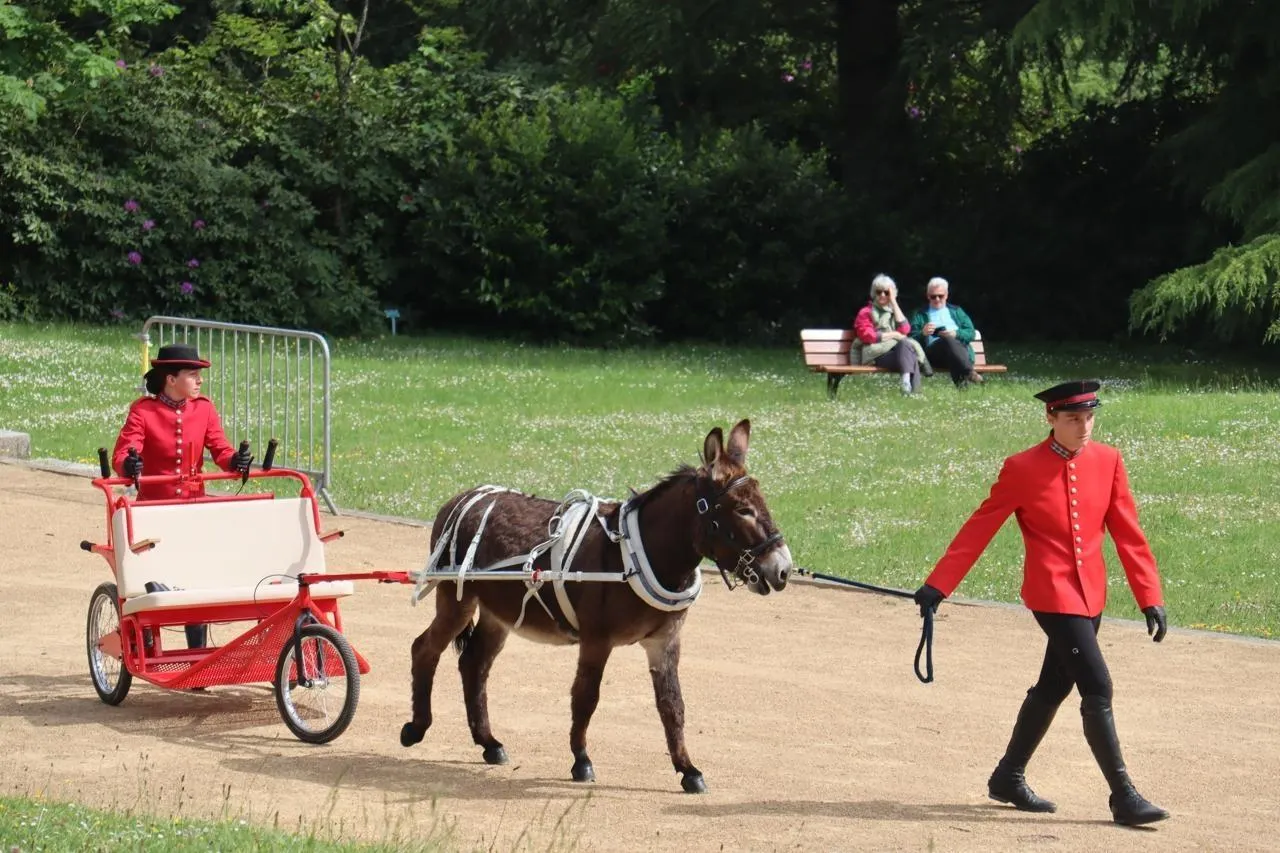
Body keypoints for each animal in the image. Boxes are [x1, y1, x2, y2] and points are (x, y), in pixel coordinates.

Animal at [399, 419, 793, 793]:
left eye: (763, 503)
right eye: (743, 510)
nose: (784, 569)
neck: (638, 554)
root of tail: (465, 496)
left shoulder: (664, 641)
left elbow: (673, 706)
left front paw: (688, 770)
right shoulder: (596, 640)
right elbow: (586, 697)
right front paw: (581, 760)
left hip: (499, 614)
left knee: (474, 663)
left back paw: (489, 743)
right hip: (457, 598)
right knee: (425, 648)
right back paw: (416, 728)